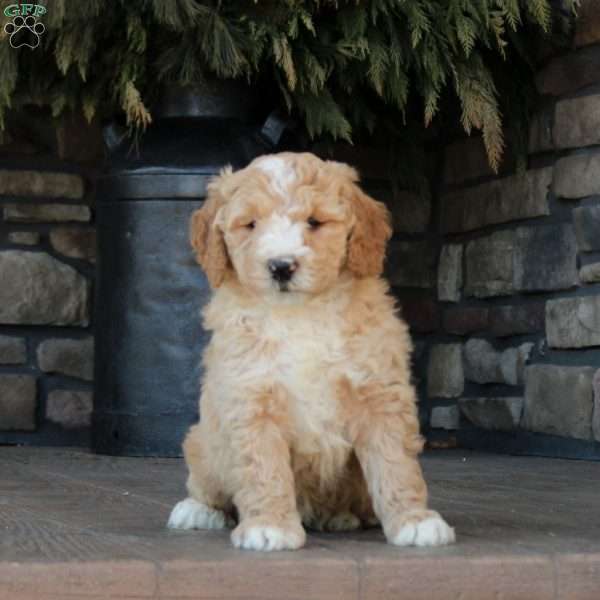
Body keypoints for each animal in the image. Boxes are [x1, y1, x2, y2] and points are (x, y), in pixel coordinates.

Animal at [166, 152, 452, 552]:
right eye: (250, 224)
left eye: (315, 221)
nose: (281, 266)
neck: (299, 314)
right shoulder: (251, 398)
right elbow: (263, 467)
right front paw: (269, 526)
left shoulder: (379, 393)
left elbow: (395, 463)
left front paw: (414, 520)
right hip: (205, 441)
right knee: (206, 483)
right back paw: (197, 510)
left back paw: (340, 517)